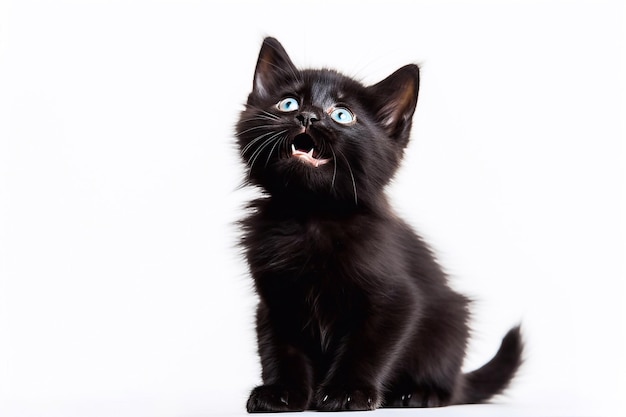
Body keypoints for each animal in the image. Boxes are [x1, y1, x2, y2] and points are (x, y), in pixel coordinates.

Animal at [236, 37, 520, 412]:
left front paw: (347, 392)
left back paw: (420, 393)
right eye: (288, 103)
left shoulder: (397, 300)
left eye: (342, 115)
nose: (307, 116)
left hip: (450, 325)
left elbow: (367, 347)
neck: (311, 217)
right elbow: (280, 349)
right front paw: (281, 392)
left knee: (449, 385)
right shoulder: (274, 301)